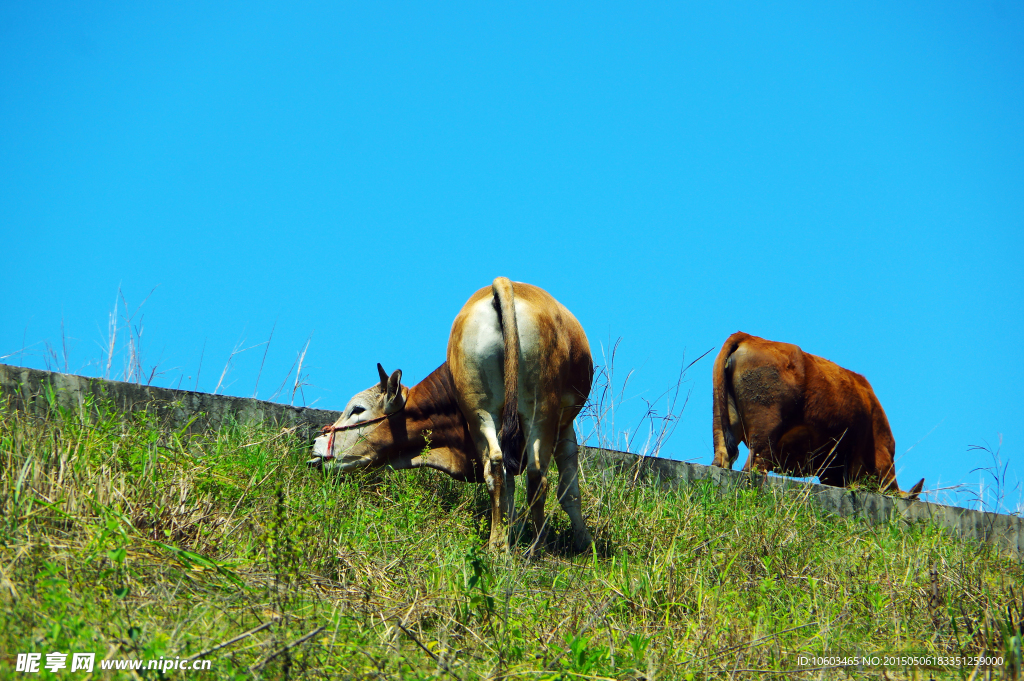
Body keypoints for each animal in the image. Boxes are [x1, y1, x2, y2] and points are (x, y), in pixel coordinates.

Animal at [305, 278, 593, 548]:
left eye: (357, 410)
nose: (317, 443)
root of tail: (502, 283)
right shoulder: (563, 423)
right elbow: (567, 489)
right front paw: (581, 543)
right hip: (533, 410)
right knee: (531, 474)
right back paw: (528, 546)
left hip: (493, 410)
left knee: (503, 469)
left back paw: (509, 546)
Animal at [716, 331, 925, 497]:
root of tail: (748, 336)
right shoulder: (853, 458)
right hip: (765, 431)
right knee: (752, 469)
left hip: (725, 422)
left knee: (722, 459)